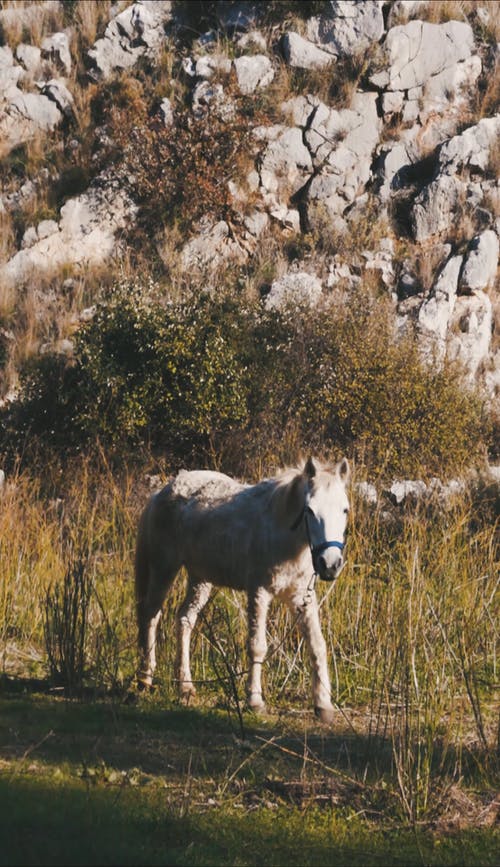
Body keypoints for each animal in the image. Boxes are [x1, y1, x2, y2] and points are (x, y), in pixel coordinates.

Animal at [135, 458, 350, 724]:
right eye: (309, 510)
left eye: (345, 510)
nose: (330, 565)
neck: (282, 530)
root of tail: (162, 491)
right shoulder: (259, 592)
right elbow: (257, 645)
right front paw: (254, 701)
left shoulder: (301, 597)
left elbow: (317, 645)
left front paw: (323, 705)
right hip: (164, 567)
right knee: (151, 615)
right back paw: (145, 677)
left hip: (200, 578)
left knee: (184, 619)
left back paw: (185, 686)